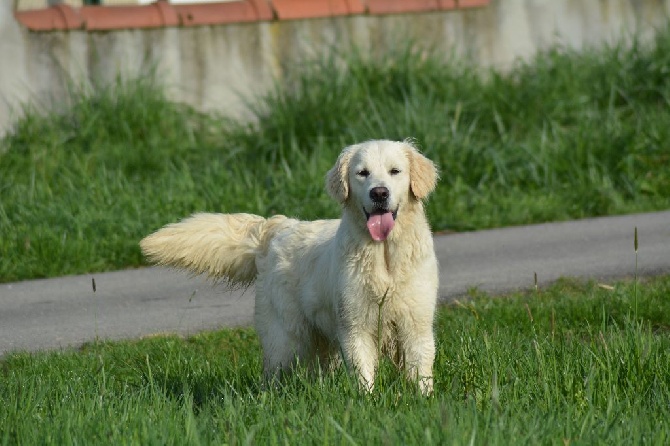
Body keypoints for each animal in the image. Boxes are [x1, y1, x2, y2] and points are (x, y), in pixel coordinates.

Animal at [139, 140, 438, 394]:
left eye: (395, 171)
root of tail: (278, 227)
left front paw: (423, 400)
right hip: (285, 338)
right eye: (362, 173)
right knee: (272, 375)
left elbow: (420, 369)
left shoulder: (416, 323)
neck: (384, 256)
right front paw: (367, 403)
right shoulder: (355, 326)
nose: (379, 193)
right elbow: (363, 374)